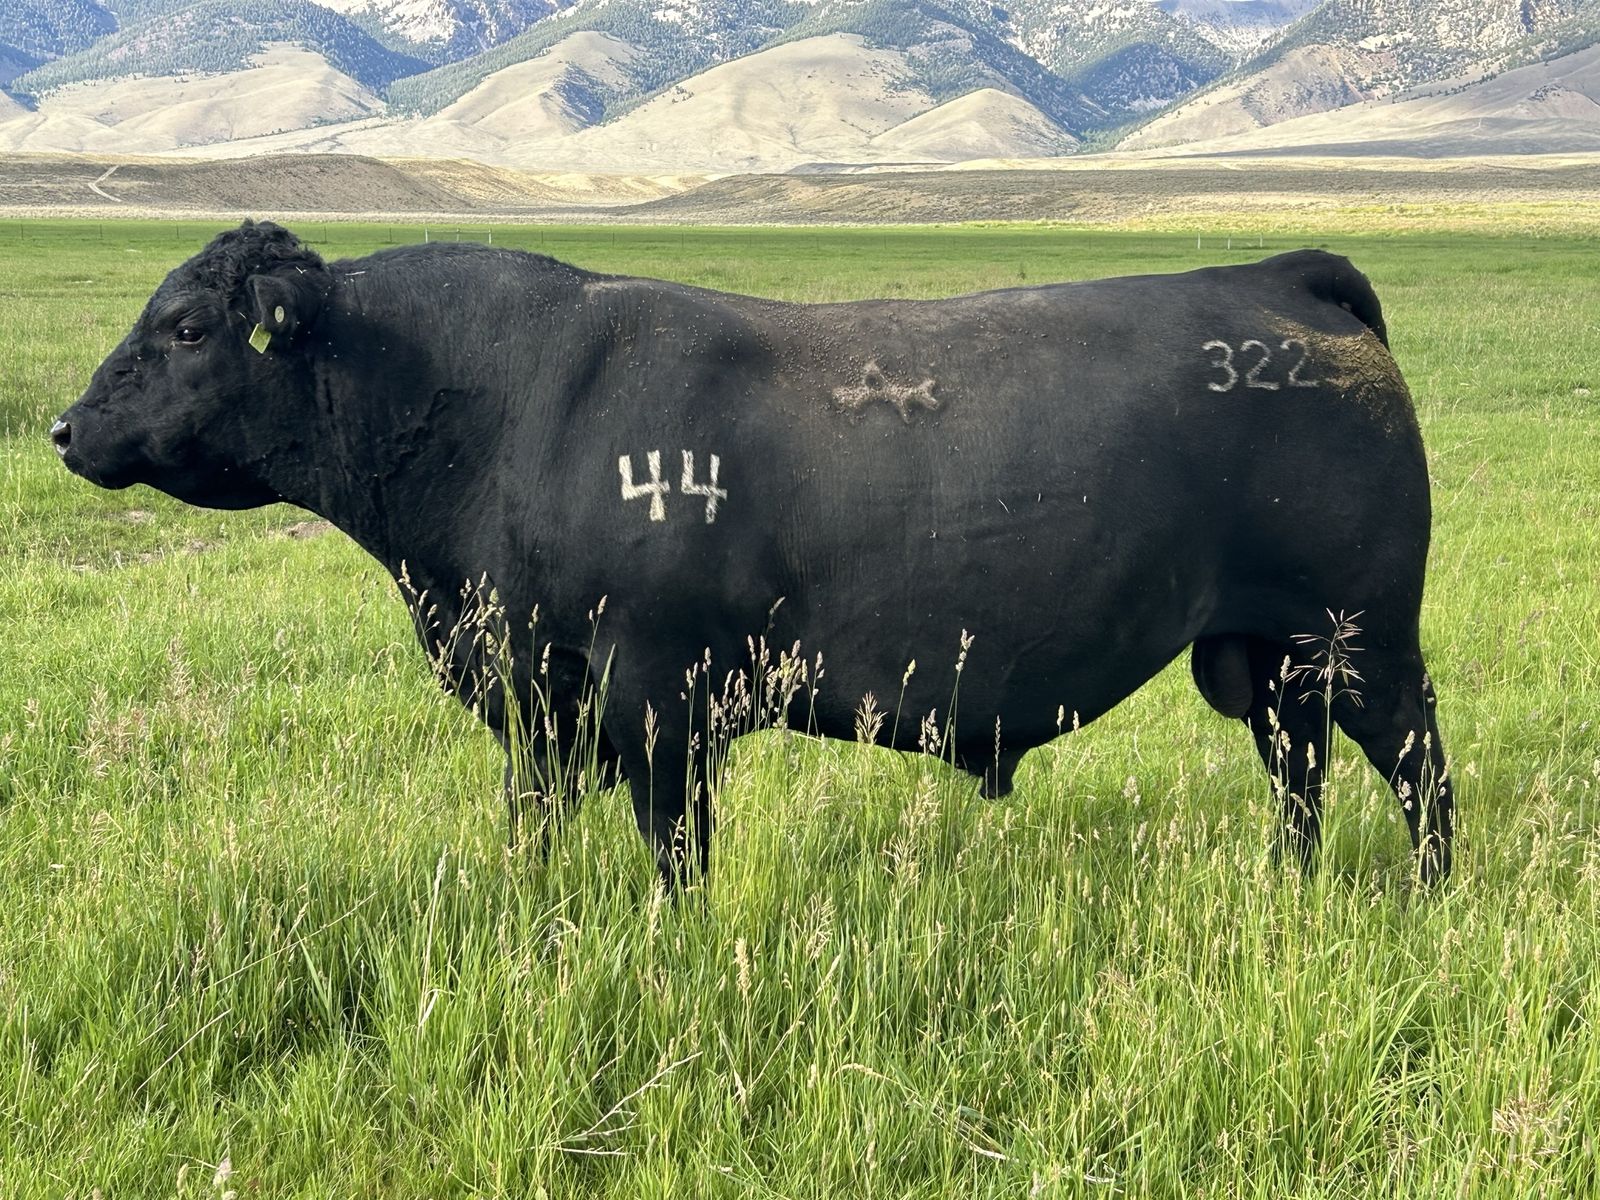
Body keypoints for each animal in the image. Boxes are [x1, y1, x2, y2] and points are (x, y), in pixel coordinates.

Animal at [52, 221, 1453, 890]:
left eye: (186, 327)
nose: (64, 427)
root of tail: (1280, 279)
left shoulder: (656, 695)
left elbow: (675, 851)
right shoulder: (543, 699)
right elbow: (535, 822)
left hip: (1363, 637)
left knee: (1418, 773)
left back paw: (1428, 900)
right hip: (1261, 656)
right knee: (1298, 777)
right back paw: (1287, 888)